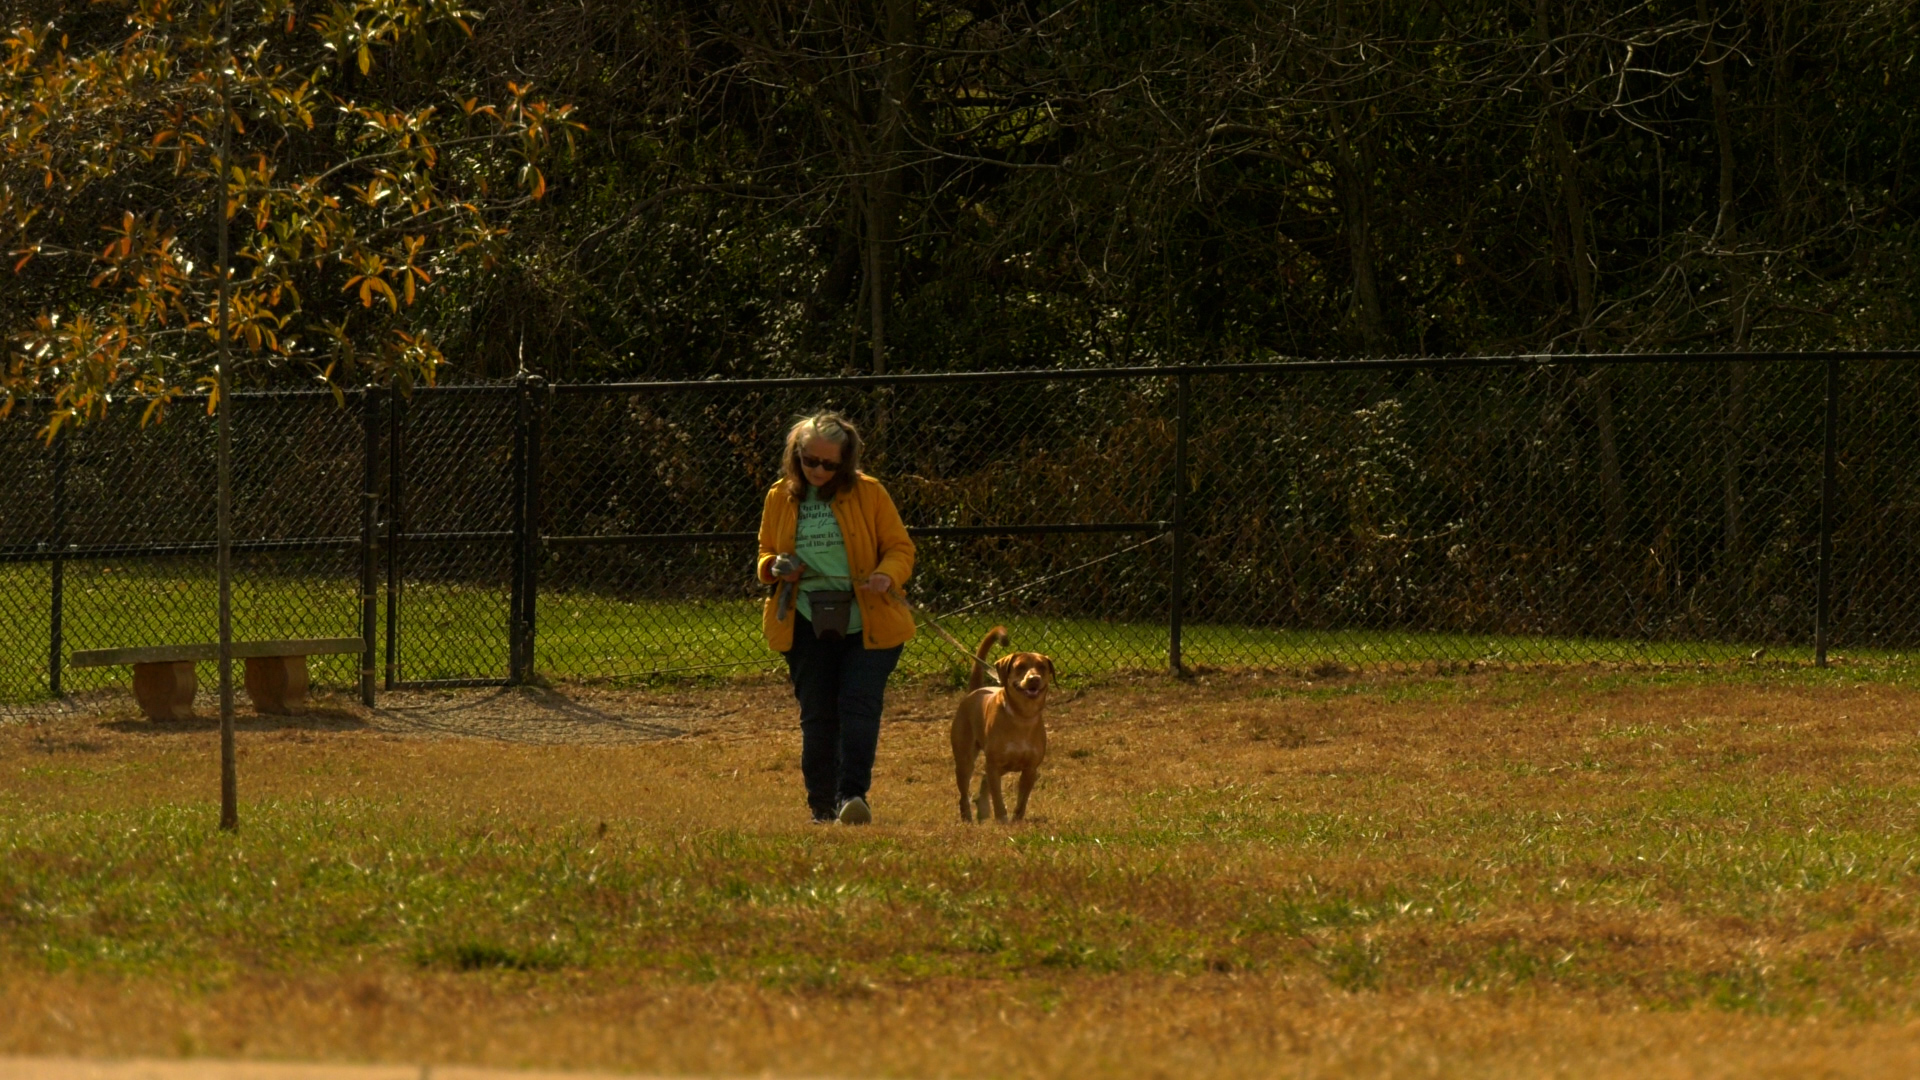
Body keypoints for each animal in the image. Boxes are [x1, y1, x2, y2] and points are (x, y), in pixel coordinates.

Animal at [952, 626, 1059, 818]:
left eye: (1042, 666)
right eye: (1020, 667)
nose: (1034, 678)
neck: (1021, 716)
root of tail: (975, 692)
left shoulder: (1030, 769)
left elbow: (1021, 803)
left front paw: (1016, 821)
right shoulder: (994, 765)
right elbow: (998, 801)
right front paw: (1002, 819)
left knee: (984, 780)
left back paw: (983, 810)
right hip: (965, 759)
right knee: (964, 794)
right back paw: (968, 817)